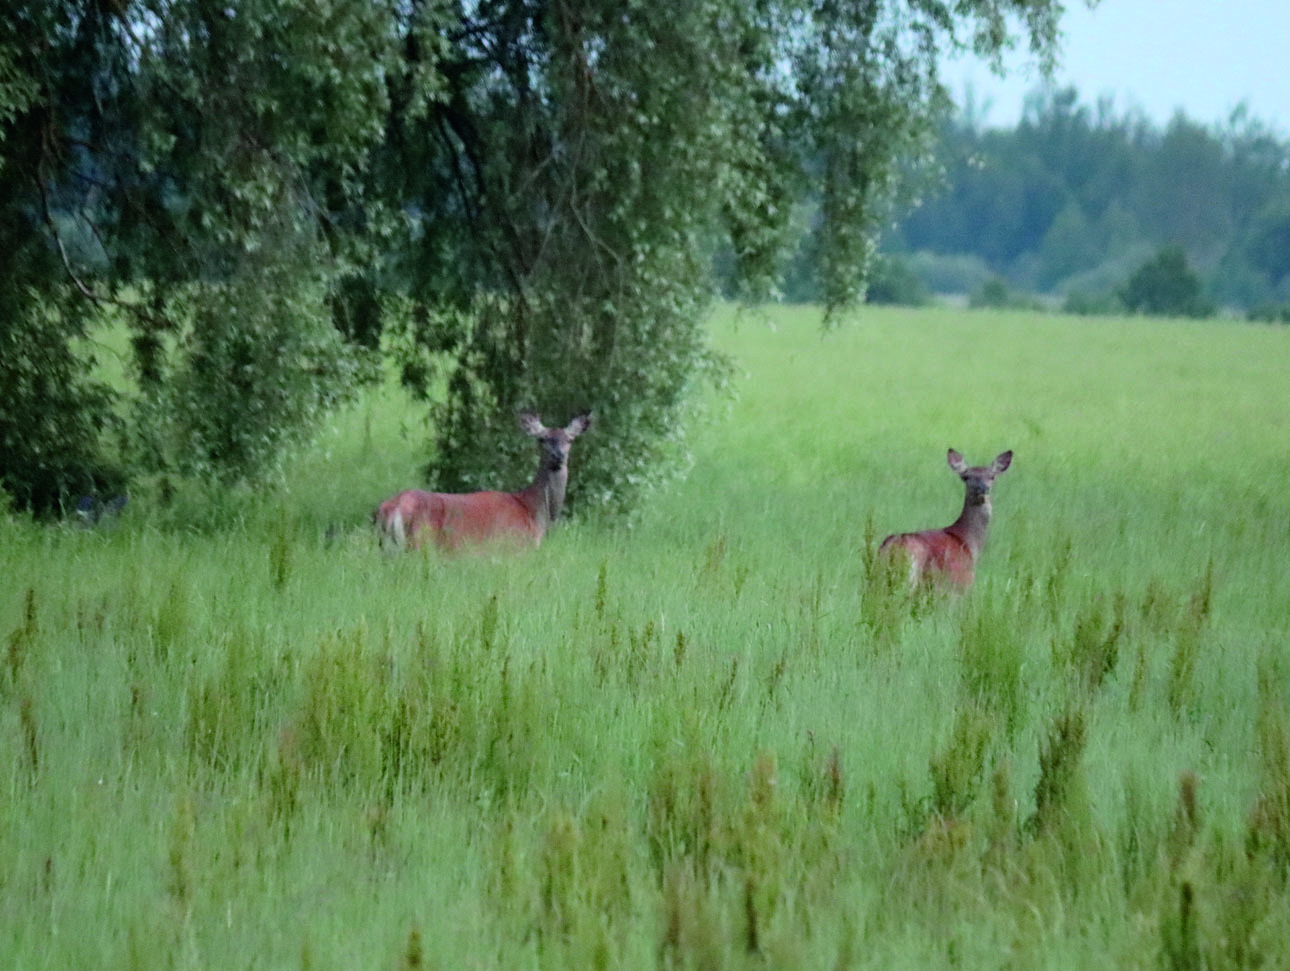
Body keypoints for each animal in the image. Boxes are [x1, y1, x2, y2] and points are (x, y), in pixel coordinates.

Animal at [374, 410, 593, 551]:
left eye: (570, 439)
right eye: (542, 439)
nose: (558, 456)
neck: (533, 512)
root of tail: (395, 507)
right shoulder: (515, 548)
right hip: (419, 544)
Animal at [882, 448, 1011, 590]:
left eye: (992, 476)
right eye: (965, 477)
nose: (983, 488)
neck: (968, 542)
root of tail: (892, 547)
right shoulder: (960, 584)